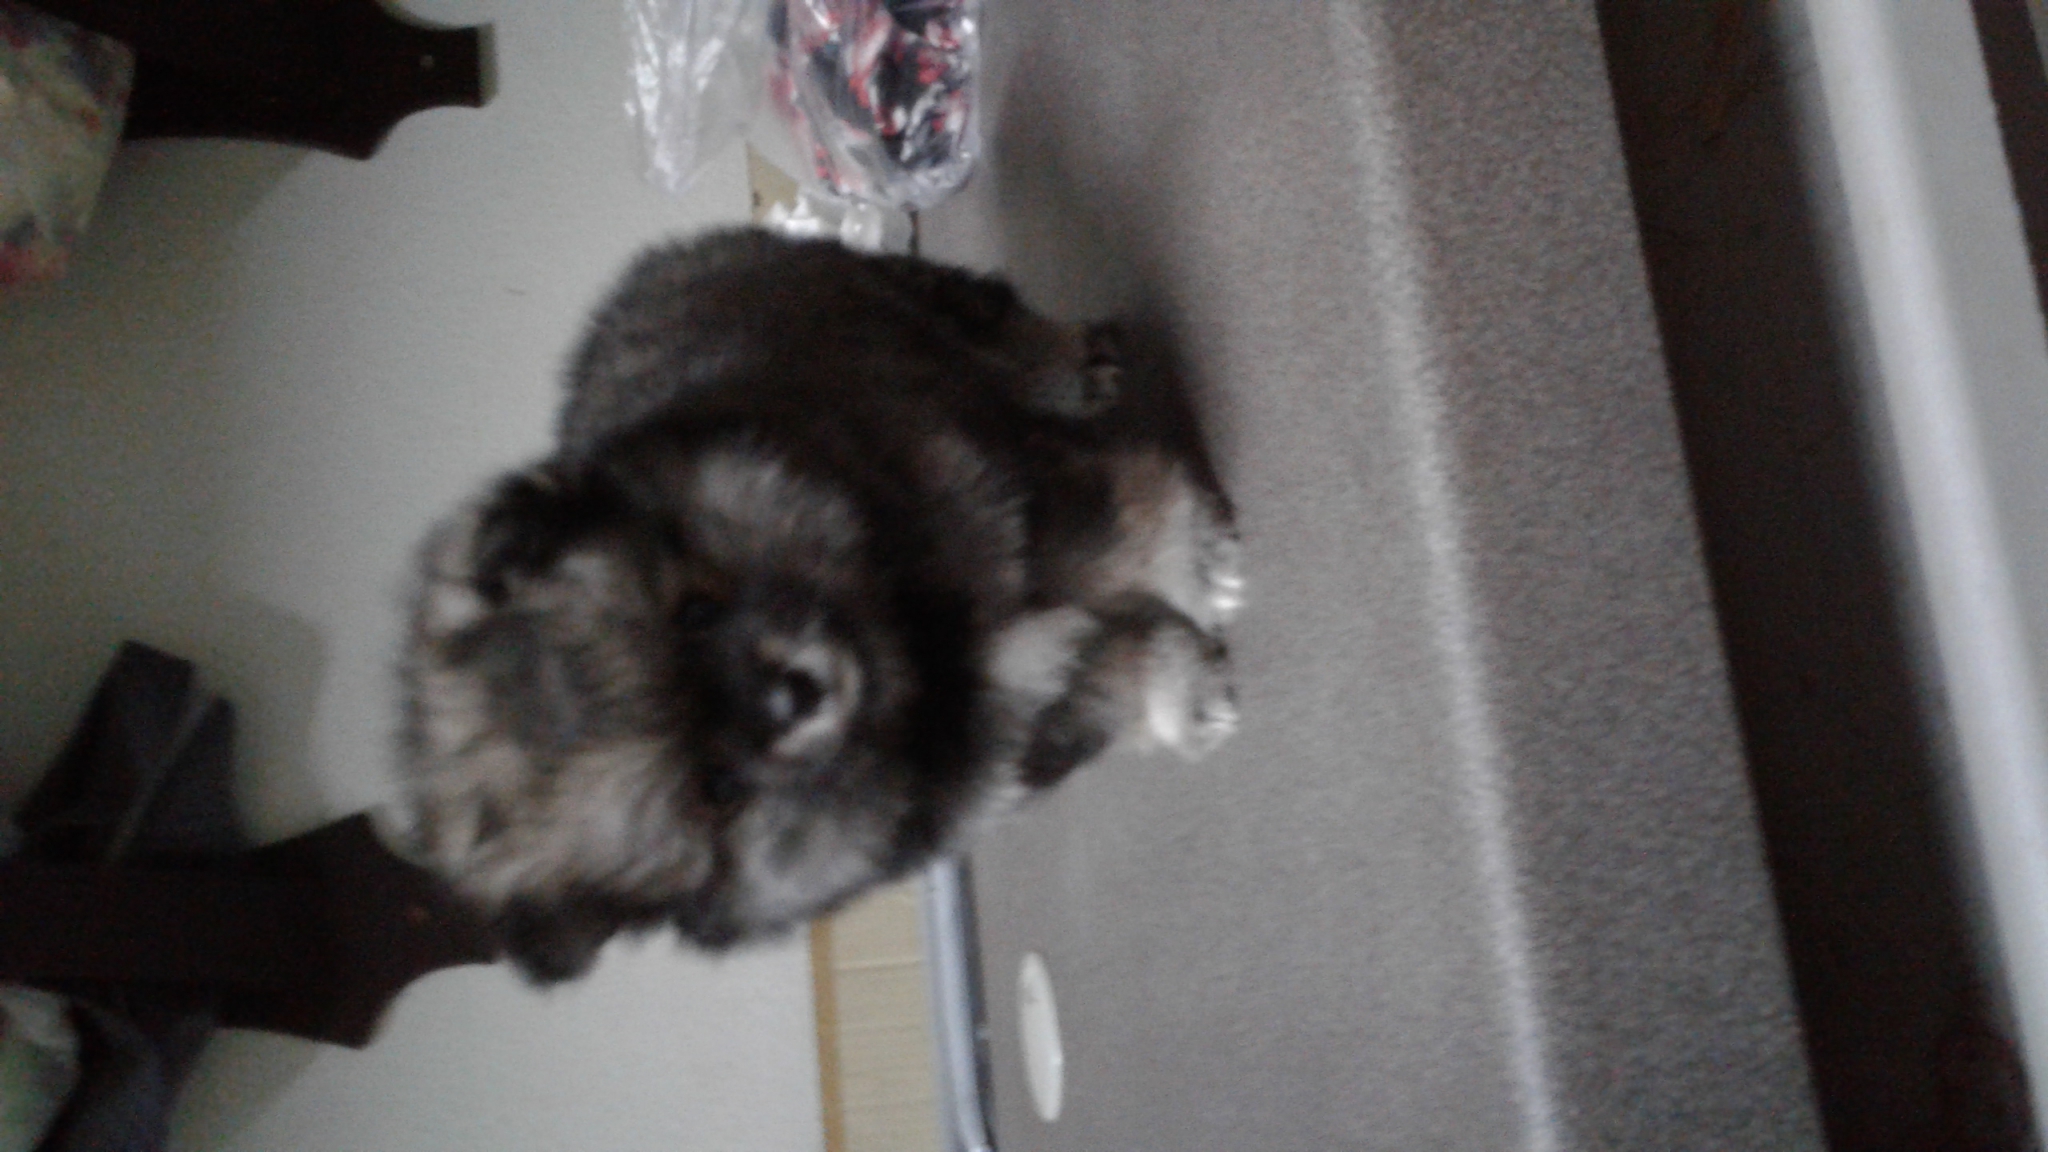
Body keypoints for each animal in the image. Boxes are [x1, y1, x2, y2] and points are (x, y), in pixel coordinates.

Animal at [397, 228, 1242, 982]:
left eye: (693, 614)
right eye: (714, 789)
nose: (794, 692)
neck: (917, 652)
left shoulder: (1015, 497)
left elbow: (1136, 527)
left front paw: (1203, 566)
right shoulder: (1022, 722)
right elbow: (1116, 671)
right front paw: (1187, 693)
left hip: (892, 291)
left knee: (986, 316)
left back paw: (1077, 362)